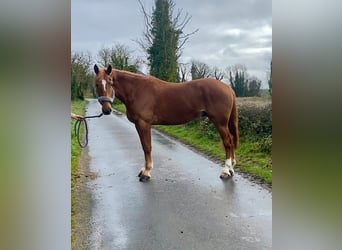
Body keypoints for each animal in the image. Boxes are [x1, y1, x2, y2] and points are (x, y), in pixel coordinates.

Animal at [93, 64, 238, 182]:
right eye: (96, 84)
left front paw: (146, 173)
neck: (137, 90)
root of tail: (227, 87)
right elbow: (144, 146)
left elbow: (147, 147)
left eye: (110, 82)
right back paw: (231, 169)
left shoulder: (143, 124)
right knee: (230, 141)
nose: (106, 110)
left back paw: (226, 171)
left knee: (228, 142)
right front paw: (144, 170)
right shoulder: (139, 125)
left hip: (220, 122)